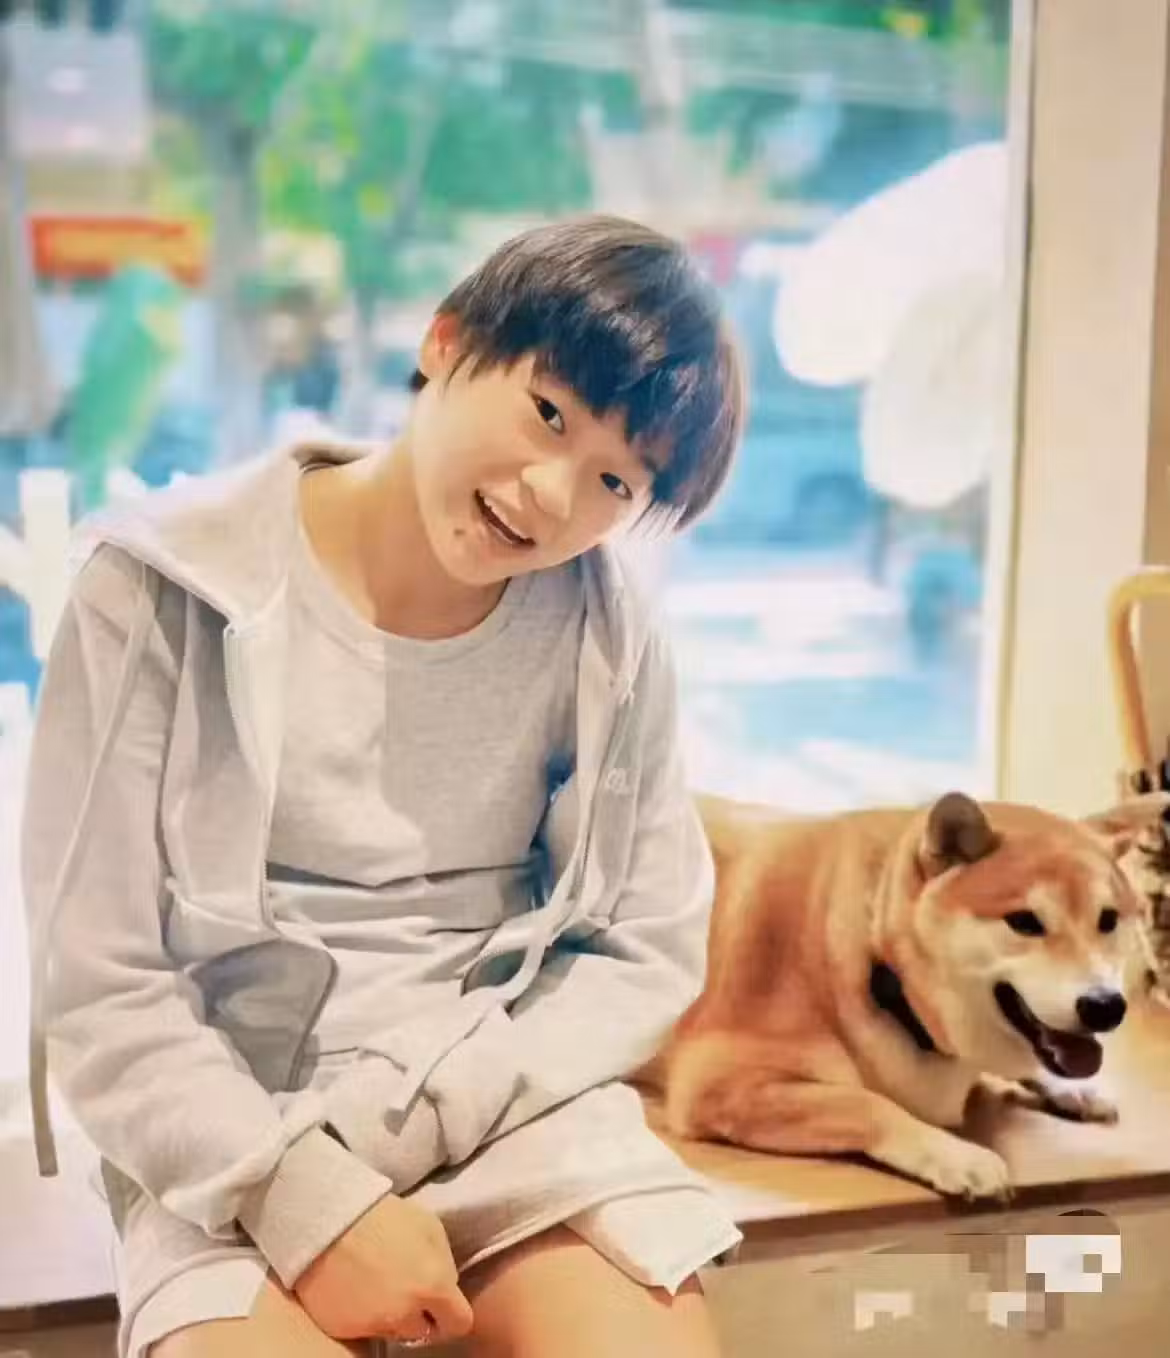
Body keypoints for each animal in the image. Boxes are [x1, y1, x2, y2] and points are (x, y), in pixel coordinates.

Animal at [650, 791, 1166, 1201]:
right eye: (1024, 922)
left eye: (1107, 920)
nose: (1105, 1006)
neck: (879, 968)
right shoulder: (717, 1082)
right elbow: (868, 1104)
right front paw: (957, 1155)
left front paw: (1071, 1089)